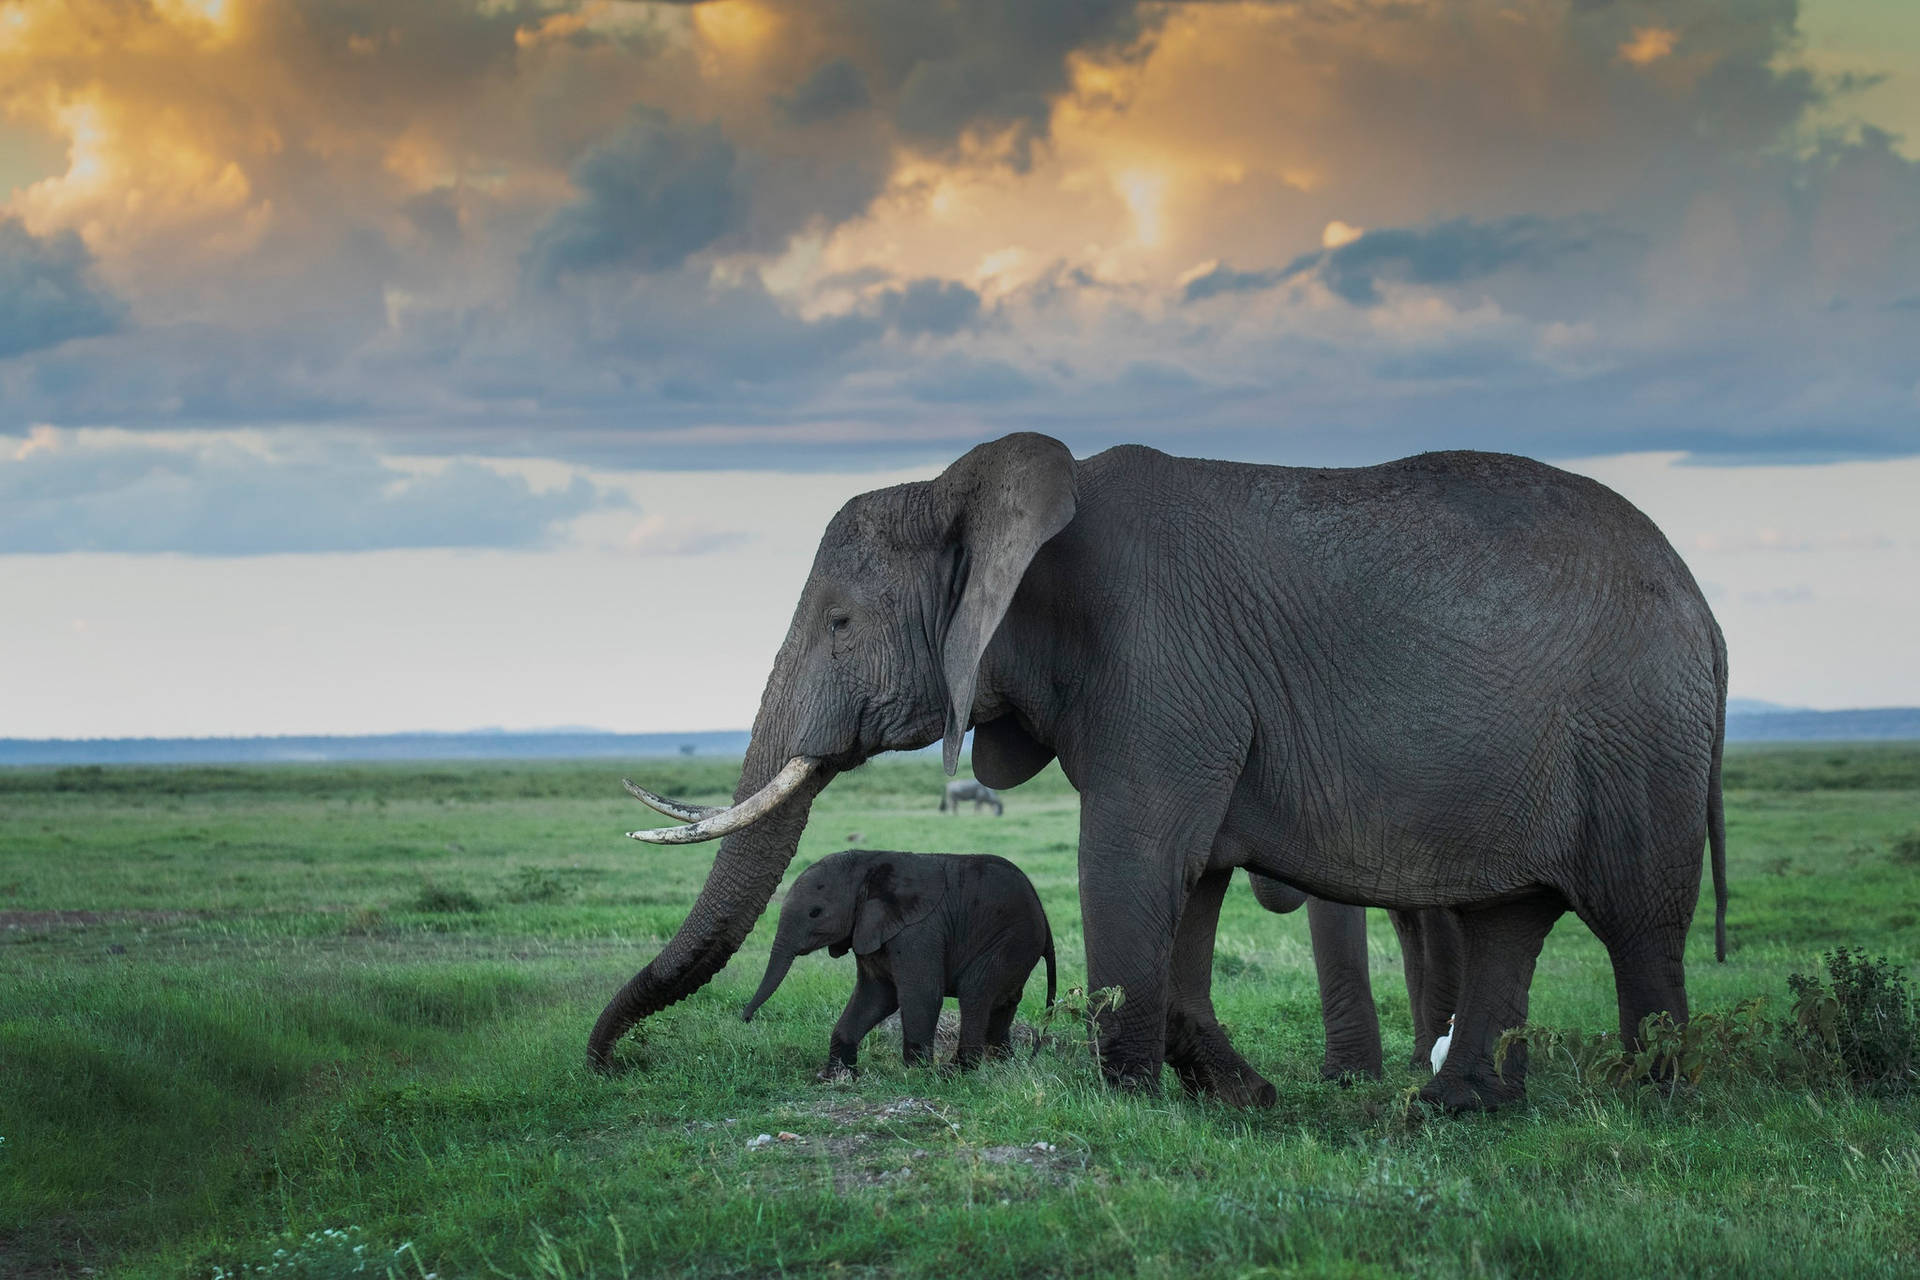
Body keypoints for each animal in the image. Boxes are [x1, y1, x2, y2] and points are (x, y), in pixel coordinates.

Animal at [739, 850, 1056, 1077]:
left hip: (1011, 938)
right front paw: (836, 1075)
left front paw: (917, 1074)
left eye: (815, 912)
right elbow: (875, 996)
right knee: (1003, 1002)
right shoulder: (870, 929)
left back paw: (955, 1072)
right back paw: (1005, 1065)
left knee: (975, 993)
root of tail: (1043, 914)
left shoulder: (918, 930)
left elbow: (920, 993)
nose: (746, 1018)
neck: (869, 864)